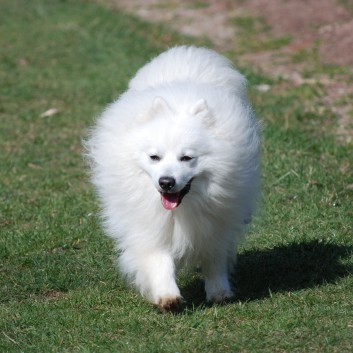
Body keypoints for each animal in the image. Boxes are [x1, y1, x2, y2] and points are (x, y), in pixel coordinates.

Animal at [86, 44, 260, 310]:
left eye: (186, 158)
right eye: (154, 157)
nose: (166, 182)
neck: (182, 209)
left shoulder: (217, 223)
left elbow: (215, 259)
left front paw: (219, 292)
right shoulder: (149, 225)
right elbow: (159, 260)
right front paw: (167, 296)